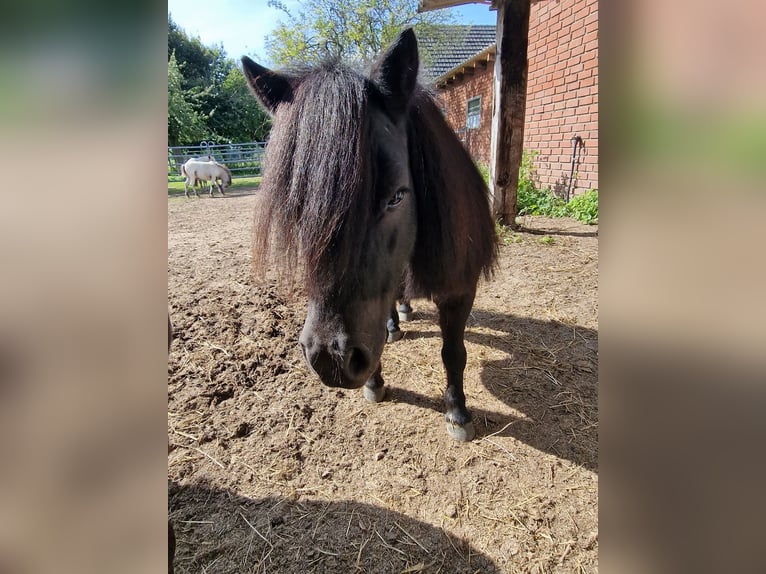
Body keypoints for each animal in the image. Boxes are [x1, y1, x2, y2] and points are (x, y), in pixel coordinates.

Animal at [243, 29, 500, 444]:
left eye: (396, 196)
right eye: (298, 206)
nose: (329, 359)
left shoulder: (461, 288)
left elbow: (454, 352)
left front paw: (458, 413)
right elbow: (376, 329)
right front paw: (374, 382)